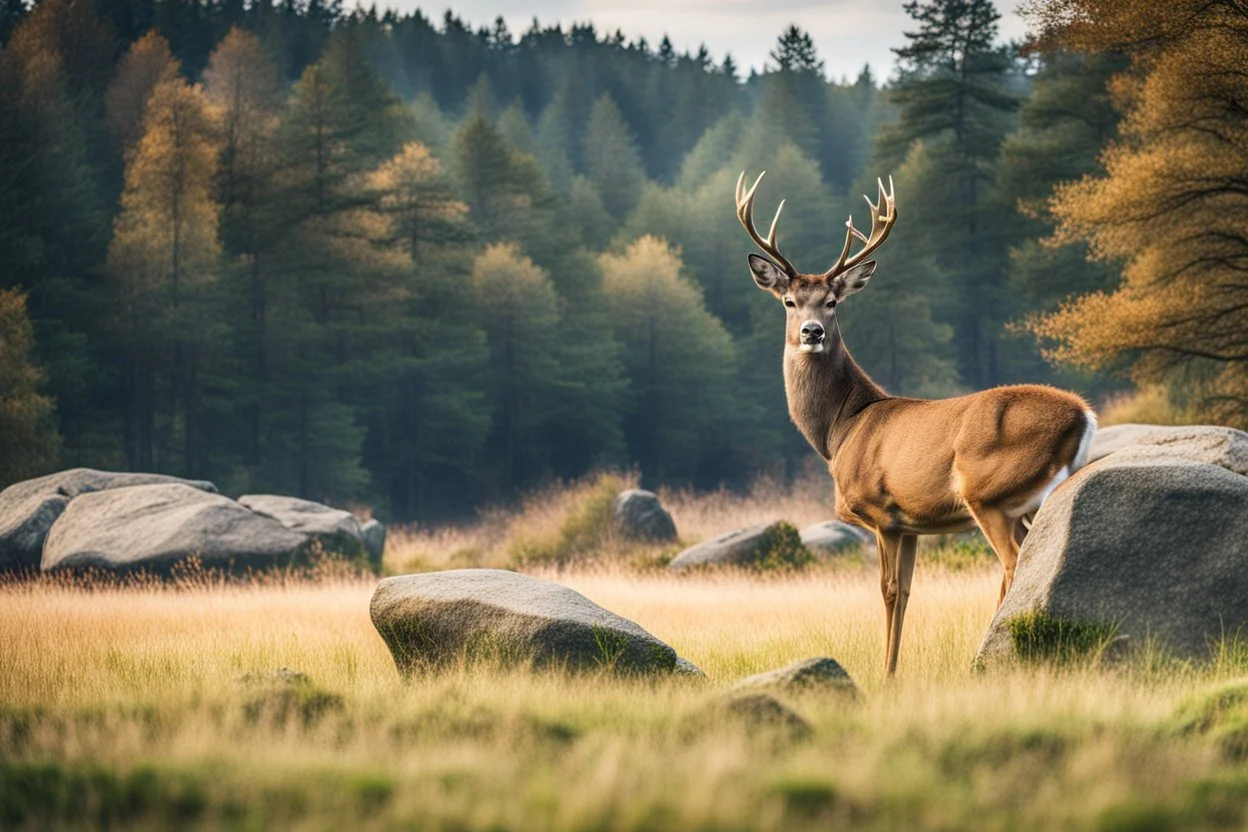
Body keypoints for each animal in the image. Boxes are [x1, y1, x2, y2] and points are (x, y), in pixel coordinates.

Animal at [733, 170, 1098, 678]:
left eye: (831, 301)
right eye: (788, 301)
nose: (812, 332)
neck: (842, 428)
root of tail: (1084, 414)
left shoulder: (880, 511)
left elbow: (887, 592)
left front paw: (885, 674)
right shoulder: (910, 526)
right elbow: (906, 592)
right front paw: (893, 669)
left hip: (989, 492)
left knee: (1012, 564)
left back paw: (981, 660)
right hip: (1029, 502)